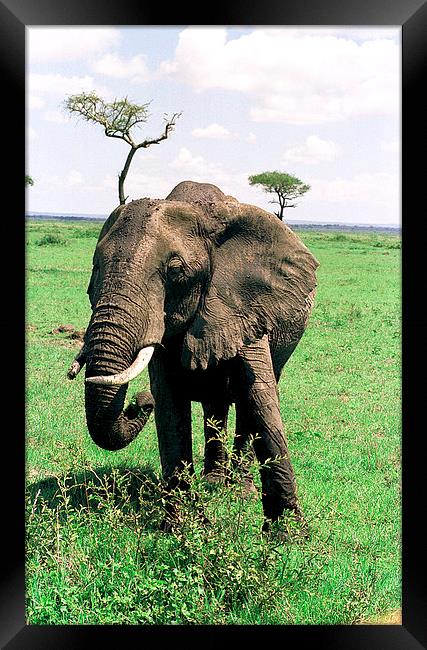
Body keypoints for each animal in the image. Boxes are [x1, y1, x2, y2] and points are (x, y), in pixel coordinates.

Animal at [68, 181, 320, 532]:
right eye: (95, 267)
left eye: (175, 272)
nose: (138, 402)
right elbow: (169, 402)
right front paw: (181, 529)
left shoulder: (244, 303)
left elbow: (258, 395)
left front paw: (288, 537)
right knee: (216, 405)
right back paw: (213, 482)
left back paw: (237, 489)